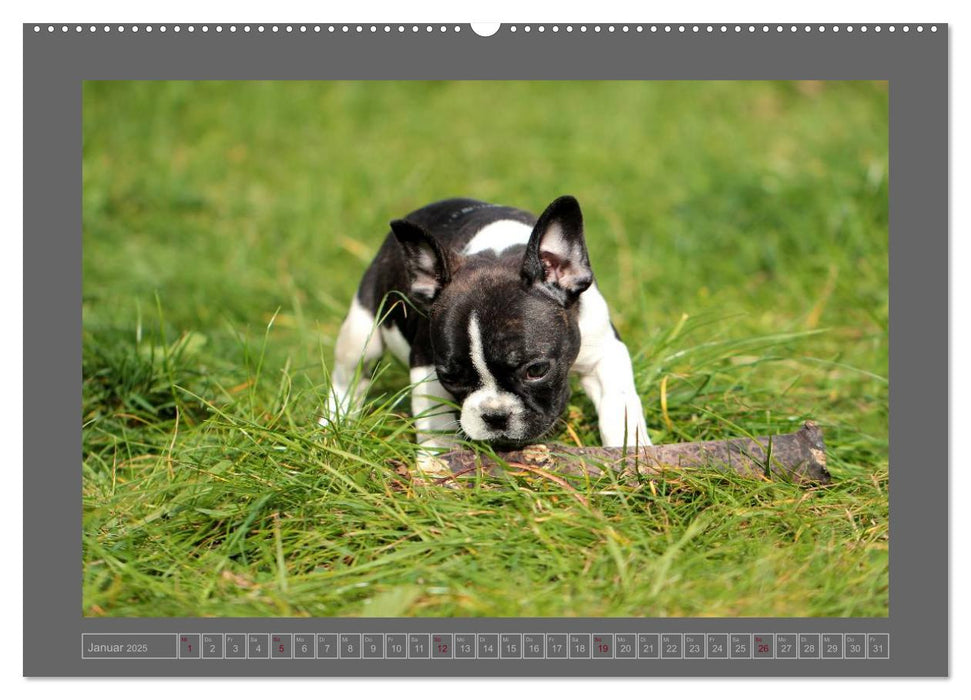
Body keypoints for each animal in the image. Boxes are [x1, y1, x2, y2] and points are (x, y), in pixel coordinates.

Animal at [326, 194, 652, 452]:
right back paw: (332, 425)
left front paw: (631, 453)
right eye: (450, 378)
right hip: (360, 331)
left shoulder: (604, 353)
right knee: (348, 379)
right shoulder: (426, 365)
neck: (497, 252)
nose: (495, 415)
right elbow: (437, 420)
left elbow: (618, 405)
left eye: (537, 370)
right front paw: (438, 465)